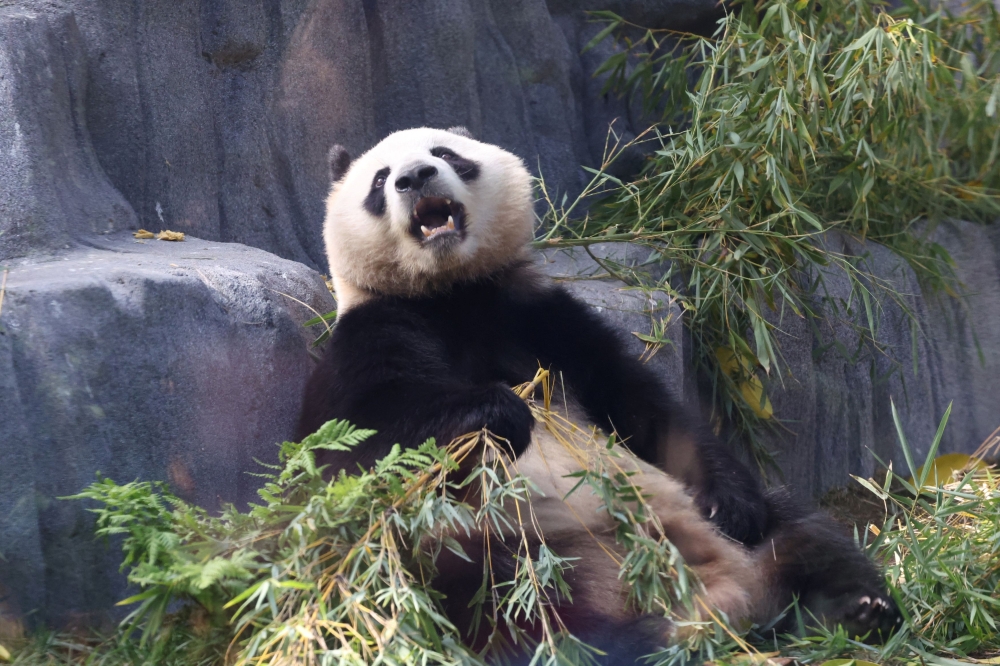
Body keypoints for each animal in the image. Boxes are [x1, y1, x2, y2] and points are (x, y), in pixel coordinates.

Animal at [297, 126, 900, 663]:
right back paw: (611, 641)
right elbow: (362, 447)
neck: (451, 294)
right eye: (380, 179)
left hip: (739, 539)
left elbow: (647, 406)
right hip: (513, 549)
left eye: (445, 154)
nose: (416, 177)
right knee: (506, 604)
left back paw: (858, 610)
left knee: (805, 533)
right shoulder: (370, 335)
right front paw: (497, 411)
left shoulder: (543, 318)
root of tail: (719, 599)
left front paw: (731, 501)